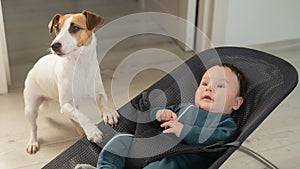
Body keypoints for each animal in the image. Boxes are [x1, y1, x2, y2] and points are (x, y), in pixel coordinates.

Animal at [23, 9, 119, 154]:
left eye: (75, 28)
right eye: (56, 28)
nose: (54, 46)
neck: (79, 66)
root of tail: (35, 65)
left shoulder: (98, 93)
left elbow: (103, 103)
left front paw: (109, 113)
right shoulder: (66, 105)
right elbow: (82, 116)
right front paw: (93, 131)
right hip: (31, 108)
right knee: (33, 127)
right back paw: (32, 142)